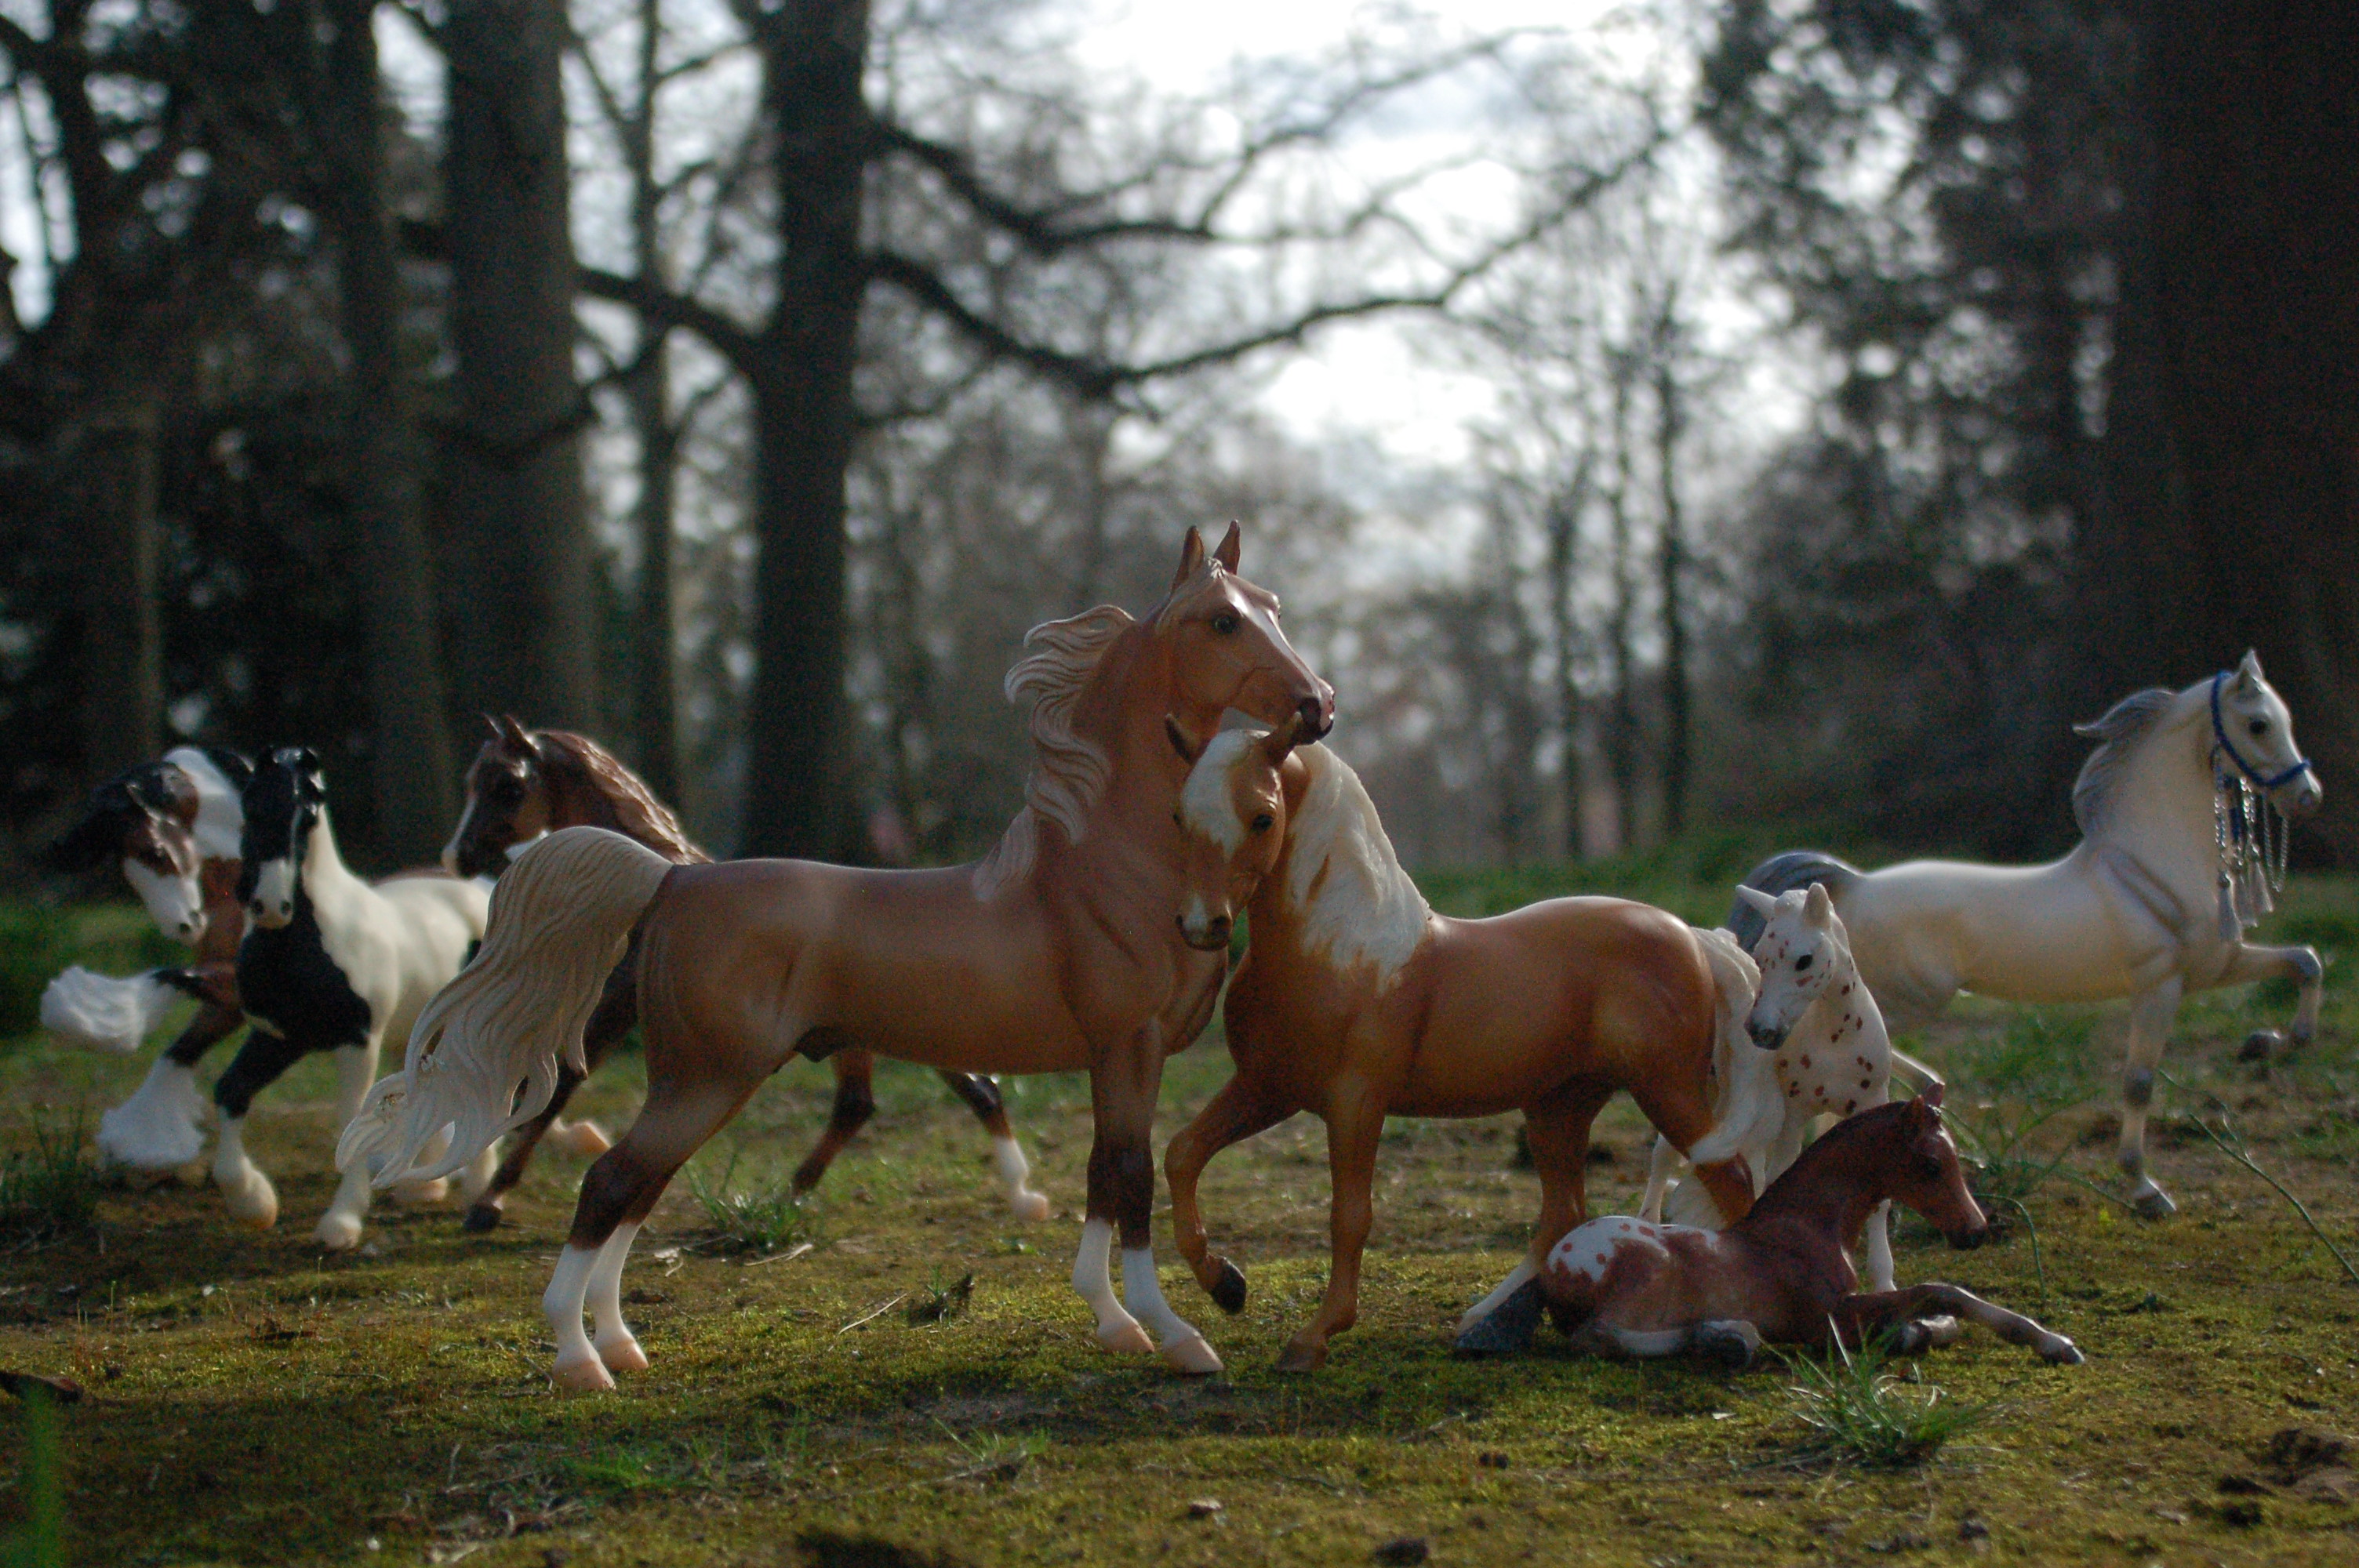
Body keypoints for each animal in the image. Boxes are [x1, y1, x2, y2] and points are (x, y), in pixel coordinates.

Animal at [223, 745, 495, 1244]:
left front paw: (341, 1223)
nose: (271, 906)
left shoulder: (357, 1041)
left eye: (308, 815)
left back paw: (476, 1191)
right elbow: (231, 1090)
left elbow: (349, 1117)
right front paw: (253, 1203)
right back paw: (423, 1186)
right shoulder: (278, 1038)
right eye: (249, 806)